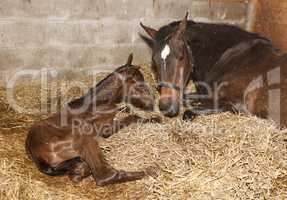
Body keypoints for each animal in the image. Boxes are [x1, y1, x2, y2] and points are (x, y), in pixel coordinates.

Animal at [25, 54, 159, 186]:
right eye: (140, 85)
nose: (152, 104)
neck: (97, 102)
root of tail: (37, 156)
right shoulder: (104, 129)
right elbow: (132, 117)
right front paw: (156, 119)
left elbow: (126, 109)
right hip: (83, 137)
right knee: (103, 176)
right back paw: (151, 170)